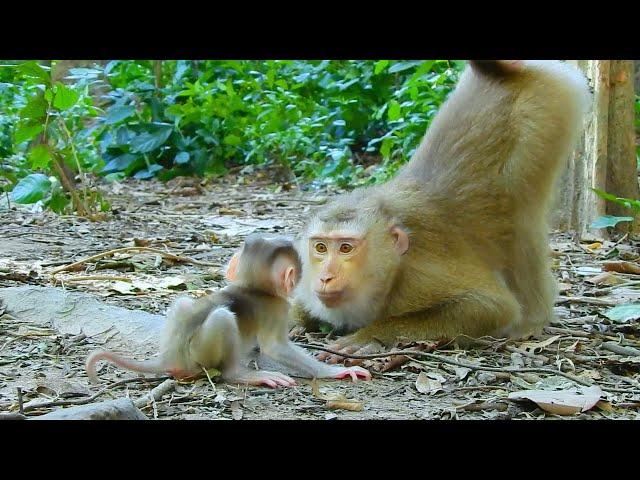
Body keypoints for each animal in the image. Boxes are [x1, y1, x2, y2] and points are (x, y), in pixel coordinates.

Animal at [85, 232, 370, 386]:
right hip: (198, 354)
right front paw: (336, 371)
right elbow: (275, 347)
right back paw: (241, 375)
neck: (252, 287)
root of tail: (171, 357)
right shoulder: (278, 307)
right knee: (222, 318)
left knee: (184, 302)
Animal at [292, 60, 592, 362]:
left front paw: (369, 335)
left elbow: (492, 305)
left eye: (346, 248)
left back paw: (532, 319)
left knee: (522, 221)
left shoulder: (419, 274)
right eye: (320, 248)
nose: (325, 276)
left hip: (542, 112)